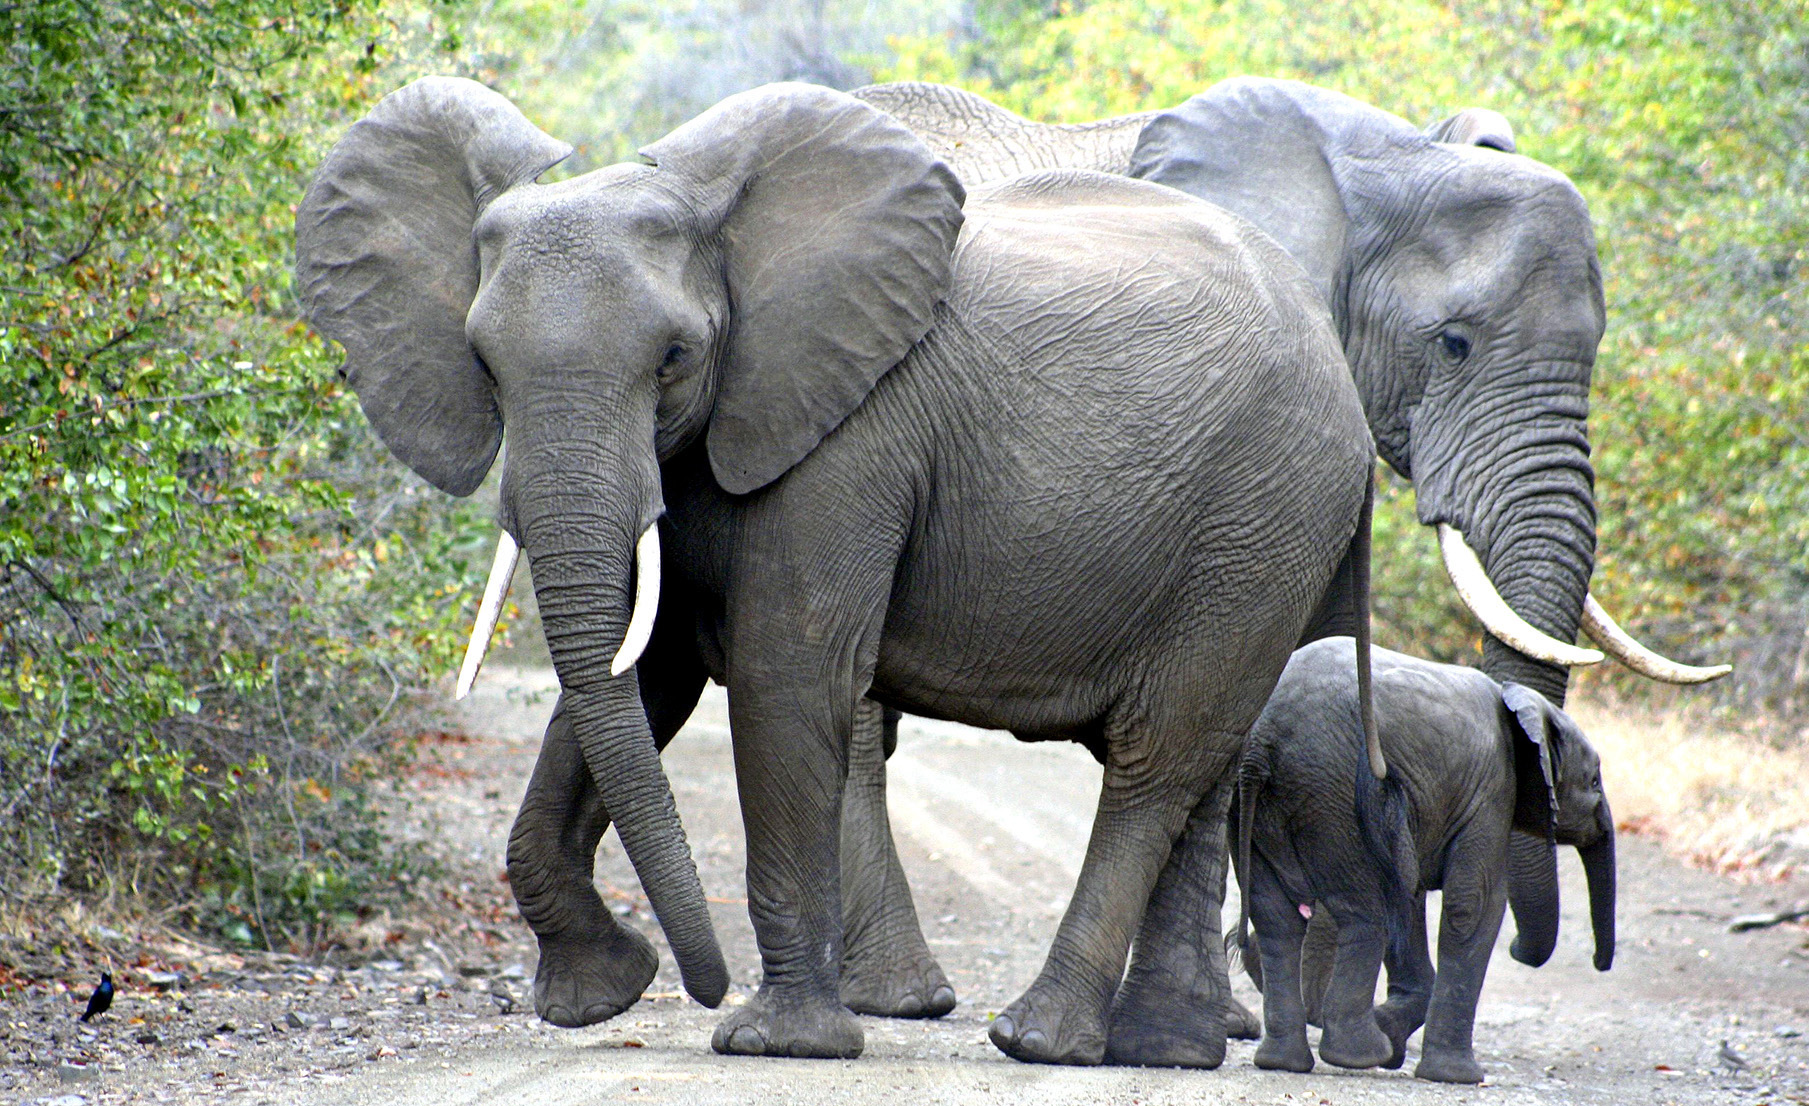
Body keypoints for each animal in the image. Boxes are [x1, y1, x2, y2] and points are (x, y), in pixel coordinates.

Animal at [295, 78, 1380, 1064]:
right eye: (483, 363)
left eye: (674, 357)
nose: (691, 977)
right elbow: (644, 672)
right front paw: (596, 995)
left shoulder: (851, 436)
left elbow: (786, 675)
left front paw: (773, 1042)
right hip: (1258, 530)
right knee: (1204, 766)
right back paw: (1161, 1052)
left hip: (1264, 517)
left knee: (1156, 758)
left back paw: (1036, 1039)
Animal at [1231, 636, 1615, 1083]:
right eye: (1593, 781)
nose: (1599, 962)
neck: (1522, 704)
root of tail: (1260, 746)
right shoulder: (1492, 789)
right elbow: (1475, 904)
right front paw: (1456, 1075)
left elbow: (1410, 893)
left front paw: (1394, 1038)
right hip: (1330, 797)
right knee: (1365, 913)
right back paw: (1360, 1054)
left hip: (1253, 801)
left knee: (1277, 919)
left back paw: (1285, 1061)